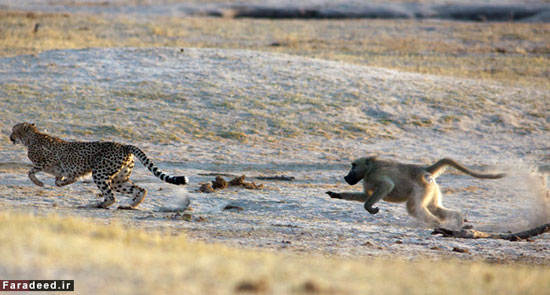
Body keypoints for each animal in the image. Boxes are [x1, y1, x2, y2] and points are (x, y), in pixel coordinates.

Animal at [8, 122, 190, 210]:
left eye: (13, 129)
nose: (10, 137)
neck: (32, 137)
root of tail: (124, 145)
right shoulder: (58, 169)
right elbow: (58, 180)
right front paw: (67, 182)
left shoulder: (48, 161)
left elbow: (30, 172)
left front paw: (39, 183)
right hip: (118, 179)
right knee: (140, 189)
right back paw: (129, 206)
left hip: (100, 173)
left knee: (111, 197)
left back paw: (97, 204)